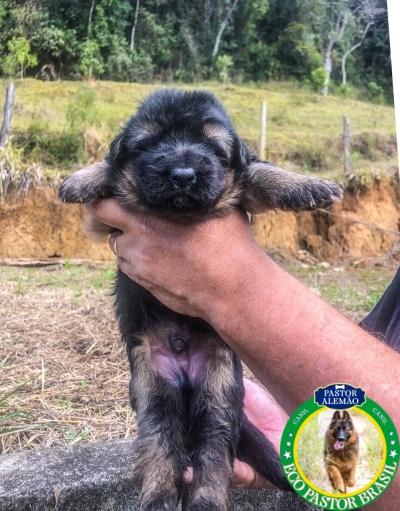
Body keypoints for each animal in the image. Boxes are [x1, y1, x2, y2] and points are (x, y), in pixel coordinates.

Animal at [58, 90, 340, 510]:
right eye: (149, 144)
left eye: (213, 148)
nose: (182, 175)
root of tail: (184, 367)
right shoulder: (105, 224)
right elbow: (109, 169)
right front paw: (82, 179)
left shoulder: (241, 190)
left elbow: (258, 171)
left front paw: (307, 186)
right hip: (151, 387)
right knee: (160, 443)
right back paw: (158, 495)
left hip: (219, 390)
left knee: (215, 449)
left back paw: (205, 498)